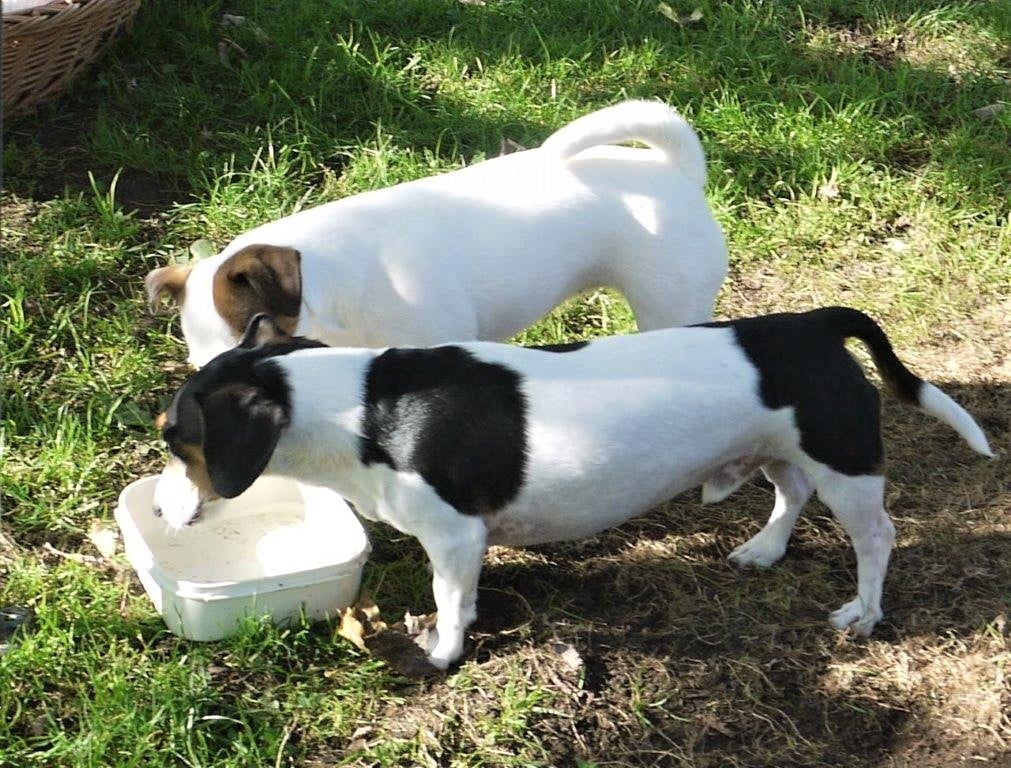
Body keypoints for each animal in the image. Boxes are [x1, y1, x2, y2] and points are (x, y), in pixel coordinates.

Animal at [152, 309, 992, 668]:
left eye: (171, 438)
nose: (156, 507)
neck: (358, 403)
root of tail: (814, 323)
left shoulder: (454, 538)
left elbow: (452, 603)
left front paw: (440, 651)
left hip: (843, 460)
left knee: (875, 536)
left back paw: (864, 613)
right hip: (780, 449)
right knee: (789, 495)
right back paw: (762, 549)